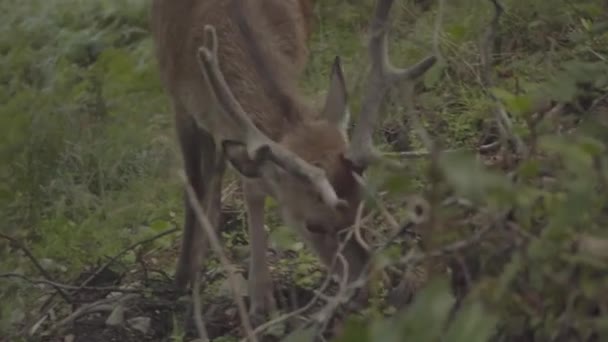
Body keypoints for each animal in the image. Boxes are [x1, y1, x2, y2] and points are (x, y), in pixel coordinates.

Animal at [151, 0, 436, 324]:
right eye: (313, 225)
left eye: (367, 208)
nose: (373, 286)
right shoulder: (178, 99)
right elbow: (199, 184)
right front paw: (250, 298)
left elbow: (251, 184)